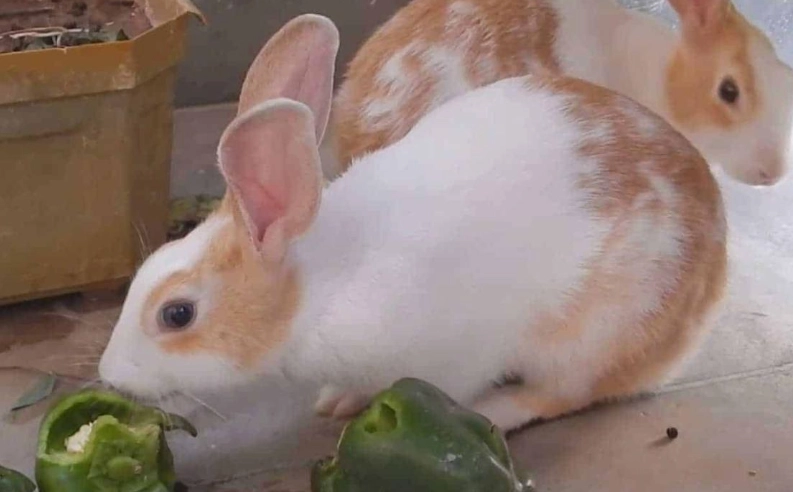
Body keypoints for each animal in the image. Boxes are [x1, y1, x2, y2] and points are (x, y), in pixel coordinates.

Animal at [98, 13, 727, 432]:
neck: (316, 290)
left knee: (563, 393)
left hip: (597, 333)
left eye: (177, 314)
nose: (110, 377)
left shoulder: (456, 356)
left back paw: (496, 411)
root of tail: (710, 287)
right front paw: (338, 400)